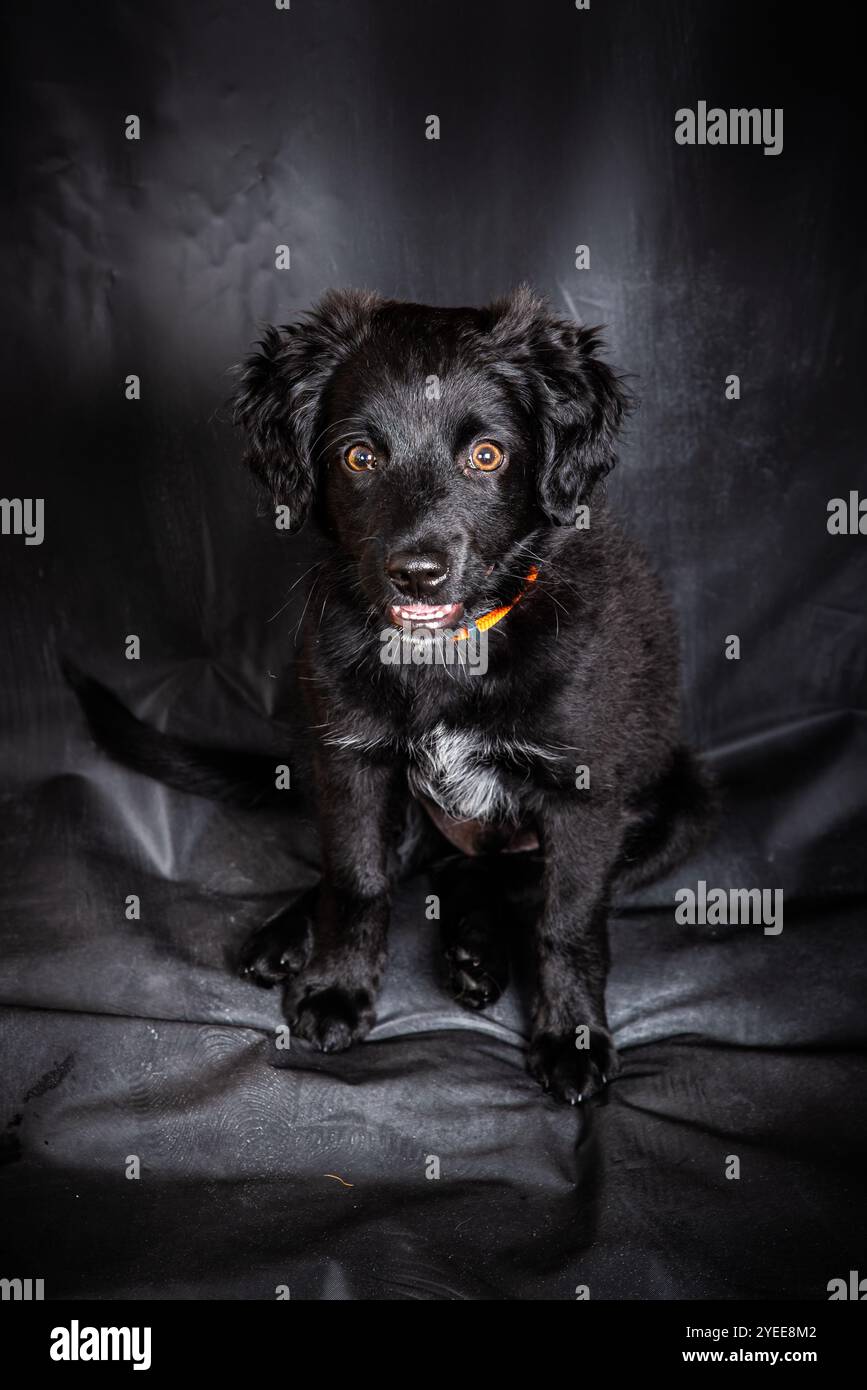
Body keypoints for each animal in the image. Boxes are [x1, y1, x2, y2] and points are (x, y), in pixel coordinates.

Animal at [226, 287, 716, 1100]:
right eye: (360, 457)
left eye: (486, 456)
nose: (416, 574)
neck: (448, 653)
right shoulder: (350, 761)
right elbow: (355, 876)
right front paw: (337, 989)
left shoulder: (585, 796)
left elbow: (566, 921)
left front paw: (572, 1037)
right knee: (420, 865)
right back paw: (291, 934)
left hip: (678, 804)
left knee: (501, 880)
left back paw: (478, 953)